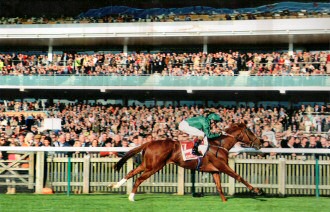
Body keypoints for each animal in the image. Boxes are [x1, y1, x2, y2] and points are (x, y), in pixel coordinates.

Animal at [110, 122, 262, 200]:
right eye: (249, 131)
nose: (259, 143)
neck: (219, 145)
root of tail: (149, 142)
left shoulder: (215, 170)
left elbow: (219, 187)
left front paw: (224, 202)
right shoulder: (222, 166)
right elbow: (238, 176)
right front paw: (256, 190)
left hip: (147, 164)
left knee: (131, 173)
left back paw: (116, 186)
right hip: (154, 167)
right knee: (139, 179)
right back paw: (131, 197)